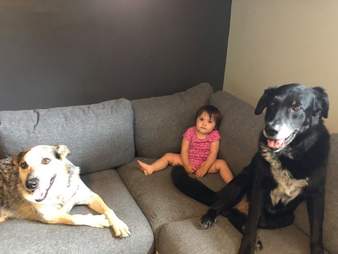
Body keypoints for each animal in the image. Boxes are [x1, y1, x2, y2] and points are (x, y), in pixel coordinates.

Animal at [0, 145, 131, 238]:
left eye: (46, 160)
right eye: (23, 165)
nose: (30, 184)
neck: (59, 191)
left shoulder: (90, 196)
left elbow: (109, 210)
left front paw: (119, 224)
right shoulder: (48, 216)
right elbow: (74, 218)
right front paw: (97, 219)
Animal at [172, 84, 330, 254]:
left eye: (296, 107)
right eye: (272, 104)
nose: (270, 130)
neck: (289, 156)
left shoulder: (317, 194)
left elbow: (317, 229)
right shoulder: (259, 187)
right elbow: (252, 223)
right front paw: (247, 247)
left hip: (285, 218)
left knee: (235, 214)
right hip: (240, 183)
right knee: (223, 208)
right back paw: (210, 217)